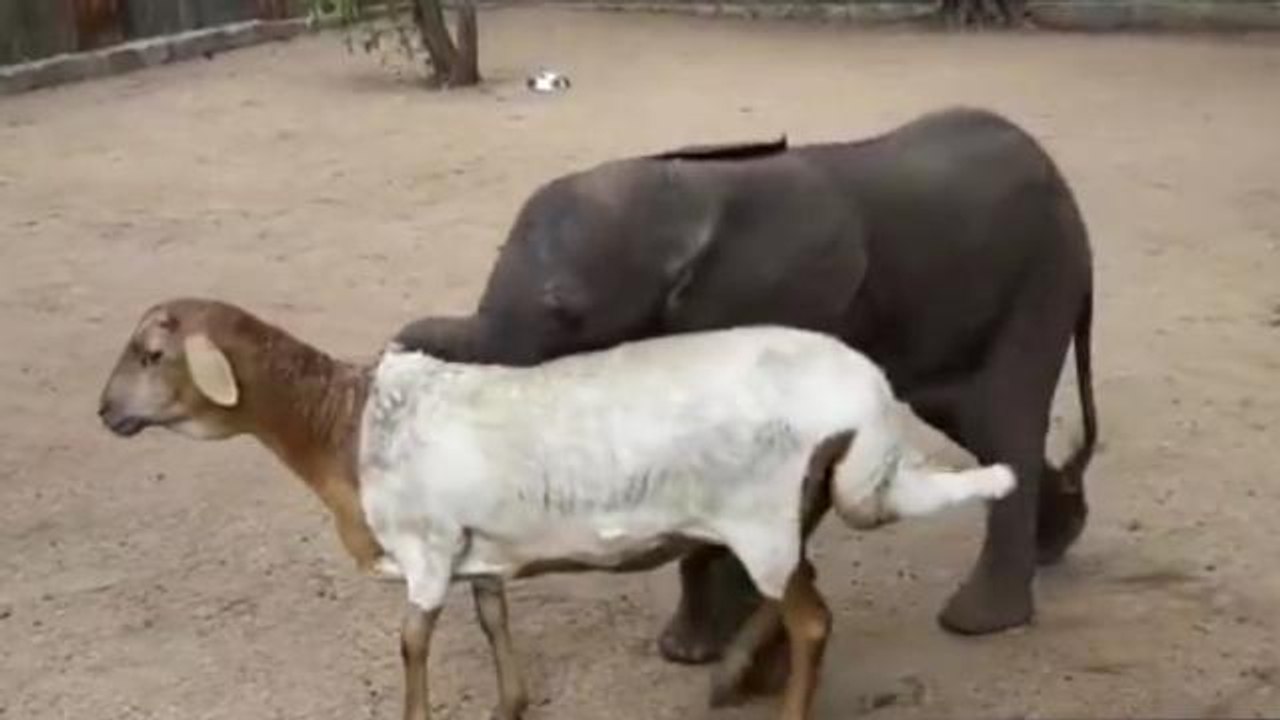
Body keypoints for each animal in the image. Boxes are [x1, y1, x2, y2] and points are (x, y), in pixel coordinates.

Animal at [97, 298, 1015, 720]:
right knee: (799, 595)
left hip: (760, 513)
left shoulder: (427, 550)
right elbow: (494, 620)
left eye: (150, 353)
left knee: (813, 620)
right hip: (797, 507)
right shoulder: (477, 548)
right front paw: (511, 704)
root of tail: (865, 393)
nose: (105, 414)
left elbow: (411, 645)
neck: (344, 425)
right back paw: (729, 675)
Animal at [392, 106, 1098, 683]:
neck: (681, 201)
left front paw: (719, 654)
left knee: (1006, 413)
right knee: (975, 418)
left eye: (566, 311)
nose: (398, 352)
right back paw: (1057, 542)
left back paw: (977, 623)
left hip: (1042, 273)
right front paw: (689, 653)